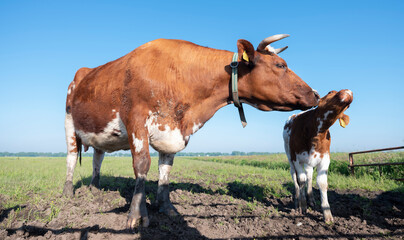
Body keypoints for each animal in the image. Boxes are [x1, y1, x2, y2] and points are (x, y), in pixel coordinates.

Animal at [64, 35, 320, 229]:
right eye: (281, 65)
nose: (316, 94)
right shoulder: (136, 119)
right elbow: (142, 166)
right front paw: (137, 215)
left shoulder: (174, 133)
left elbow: (165, 171)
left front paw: (167, 208)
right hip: (69, 123)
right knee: (71, 157)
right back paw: (68, 192)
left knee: (97, 157)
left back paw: (94, 189)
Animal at [282, 89, 352, 223]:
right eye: (330, 92)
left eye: (348, 106)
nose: (348, 91)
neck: (316, 134)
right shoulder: (297, 158)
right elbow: (301, 180)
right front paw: (303, 206)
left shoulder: (325, 159)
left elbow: (322, 183)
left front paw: (327, 214)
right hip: (289, 155)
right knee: (294, 176)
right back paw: (297, 201)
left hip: (309, 161)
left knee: (309, 175)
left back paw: (311, 200)